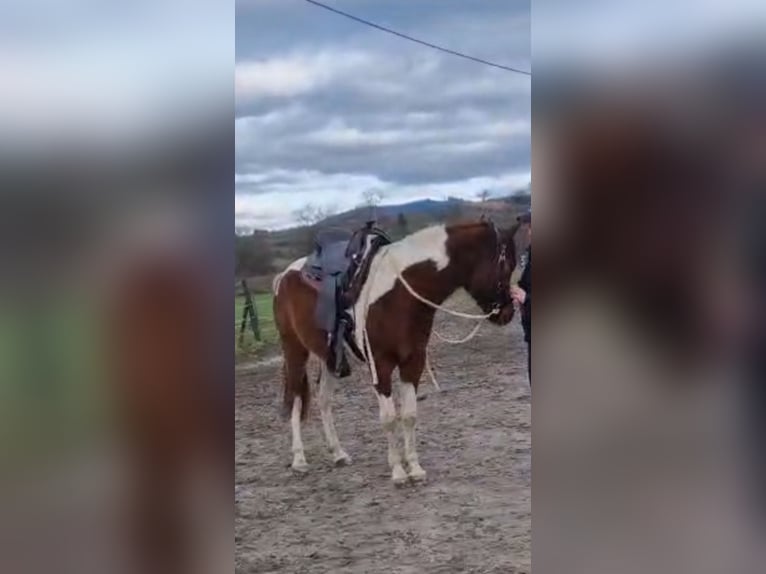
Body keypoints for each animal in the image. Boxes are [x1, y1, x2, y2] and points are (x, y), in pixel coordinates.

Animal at [272, 220, 520, 486]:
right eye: (506, 265)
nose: (507, 313)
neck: (400, 294)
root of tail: (283, 276)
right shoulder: (380, 366)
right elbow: (389, 418)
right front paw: (398, 471)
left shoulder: (413, 362)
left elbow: (409, 415)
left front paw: (415, 468)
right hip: (294, 350)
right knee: (296, 398)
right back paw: (299, 459)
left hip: (329, 357)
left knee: (324, 400)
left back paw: (338, 453)